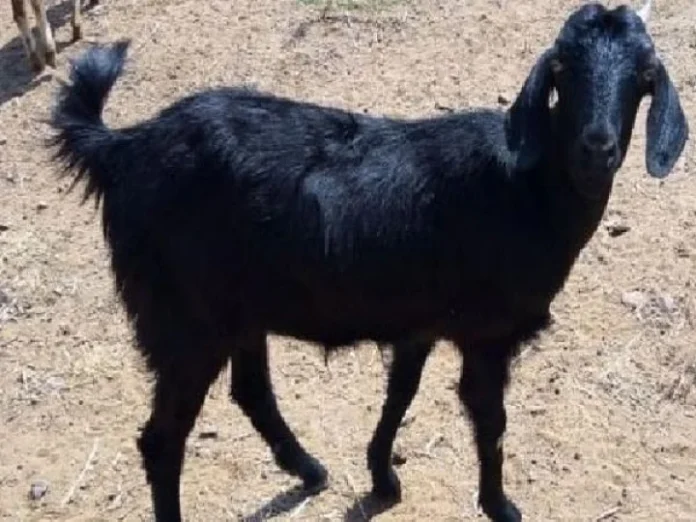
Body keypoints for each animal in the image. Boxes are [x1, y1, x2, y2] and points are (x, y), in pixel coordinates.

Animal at [47, 1, 688, 521]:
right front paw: (500, 506)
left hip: (238, 311)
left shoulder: (421, 322)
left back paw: (310, 469)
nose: (597, 147)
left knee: (251, 391)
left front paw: (381, 477)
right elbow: (490, 420)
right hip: (183, 320)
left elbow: (399, 394)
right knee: (162, 441)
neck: (527, 190)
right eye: (561, 72)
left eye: (644, 77)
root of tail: (121, 148)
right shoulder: (486, 334)